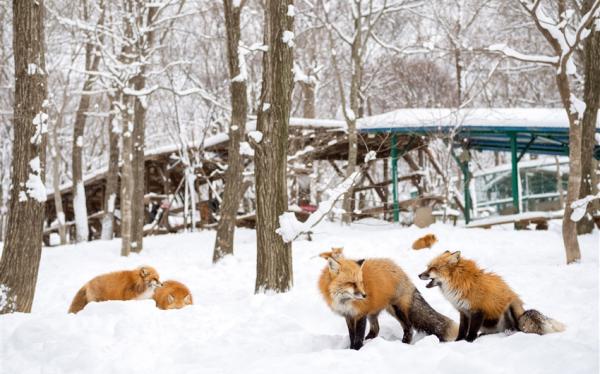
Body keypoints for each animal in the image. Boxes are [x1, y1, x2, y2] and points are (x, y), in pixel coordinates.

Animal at [318, 247, 454, 350]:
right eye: (351, 283)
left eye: (361, 282)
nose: (364, 295)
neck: (344, 301)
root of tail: (400, 270)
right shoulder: (349, 315)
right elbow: (352, 336)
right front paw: (351, 348)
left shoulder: (360, 314)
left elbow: (358, 337)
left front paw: (356, 349)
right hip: (374, 313)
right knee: (376, 329)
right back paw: (370, 341)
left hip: (397, 309)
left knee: (408, 328)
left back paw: (404, 343)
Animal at [420, 251, 564, 342]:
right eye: (427, 267)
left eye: (432, 268)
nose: (418, 275)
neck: (460, 283)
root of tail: (522, 312)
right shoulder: (464, 312)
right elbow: (462, 329)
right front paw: (459, 341)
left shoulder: (478, 311)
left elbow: (472, 330)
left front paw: (469, 341)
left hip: (510, 307)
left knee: (518, 329)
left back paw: (510, 332)